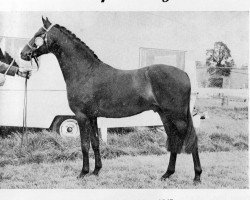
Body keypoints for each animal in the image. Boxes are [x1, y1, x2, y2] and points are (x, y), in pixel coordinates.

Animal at [20, 17, 202, 183]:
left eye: (38, 35)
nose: (23, 54)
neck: (85, 73)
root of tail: (185, 74)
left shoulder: (81, 116)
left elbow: (84, 145)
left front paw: (83, 173)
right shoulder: (92, 117)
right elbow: (95, 143)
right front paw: (96, 171)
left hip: (178, 117)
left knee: (192, 141)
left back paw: (197, 176)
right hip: (165, 115)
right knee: (174, 140)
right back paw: (167, 174)